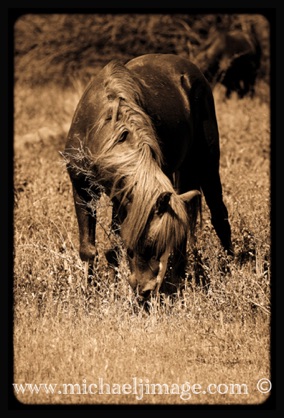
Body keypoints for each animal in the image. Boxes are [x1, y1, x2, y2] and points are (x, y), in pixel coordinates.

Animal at [62, 53, 233, 300]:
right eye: (140, 243)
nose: (145, 290)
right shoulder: (84, 187)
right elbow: (91, 248)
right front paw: (92, 292)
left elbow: (113, 247)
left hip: (205, 164)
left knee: (219, 215)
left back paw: (225, 270)